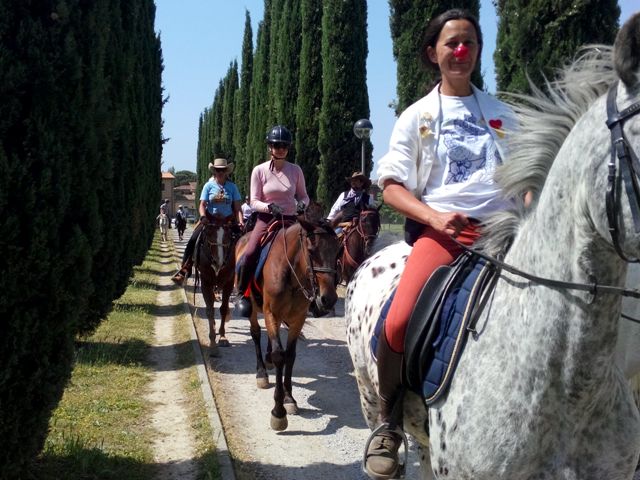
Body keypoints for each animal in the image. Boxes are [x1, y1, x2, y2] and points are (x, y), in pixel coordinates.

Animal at [194, 216, 239, 357]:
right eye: (208, 234)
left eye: (228, 236)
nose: (218, 262)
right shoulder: (205, 282)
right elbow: (210, 311)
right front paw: (213, 343)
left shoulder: (229, 282)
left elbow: (223, 309)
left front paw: (222, 337)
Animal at [234, 216, 341, 431]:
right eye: (311, 251)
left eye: (337, 251)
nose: (328, 299)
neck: (291, 273)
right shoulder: (272, 313)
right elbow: (279, 355)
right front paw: (278, 412)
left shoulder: (298, 318)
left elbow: (290, 356)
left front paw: (289, 398)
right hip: (254, 309)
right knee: (256, 333)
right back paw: (261, 372)